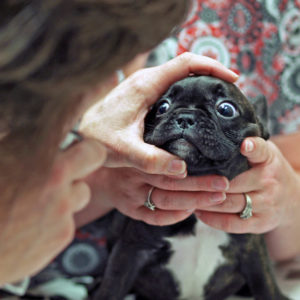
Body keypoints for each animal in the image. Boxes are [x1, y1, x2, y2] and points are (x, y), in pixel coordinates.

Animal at [89, 75, 290, 300]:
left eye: (226, 109)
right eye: (162, 106)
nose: (185, 116)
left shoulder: (253, 252)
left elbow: (266, 285)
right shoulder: (131, 250)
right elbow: (112, 287)